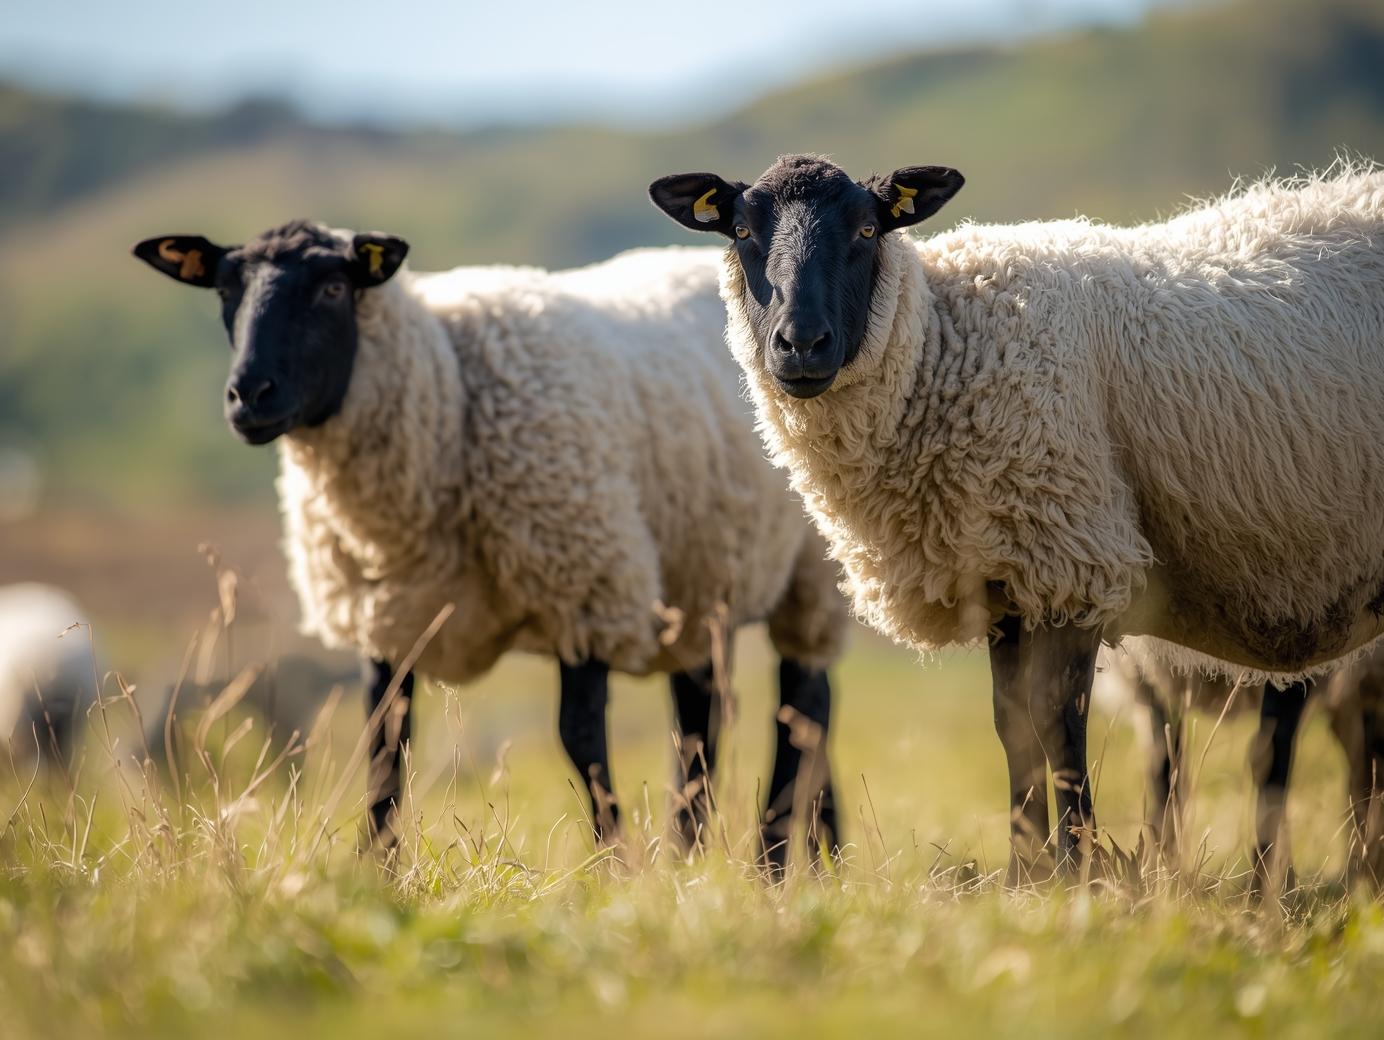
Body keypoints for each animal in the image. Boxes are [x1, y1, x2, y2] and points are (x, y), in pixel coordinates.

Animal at [131, 221, 849, 865]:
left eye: (335, 287)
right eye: (226, 289)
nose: (248, 396)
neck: (447, 393)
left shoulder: (584, 588)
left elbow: (579, 738)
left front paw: (615, 869)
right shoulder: (387, 622)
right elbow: (386, 740)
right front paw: (375, 872)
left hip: (810, 574)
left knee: (803, 707)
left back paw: (773, 861)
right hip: (701, 580)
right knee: (710, 719)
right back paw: (733, 857)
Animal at [650, 154, 1384, 884]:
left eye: (866, 229)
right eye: (742, 230)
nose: (801, 345)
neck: (941, 348)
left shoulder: (1071, 559)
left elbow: (1057, 722)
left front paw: (1077, 873)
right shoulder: (1005, 580)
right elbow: (1014, 729)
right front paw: (1027, 876)